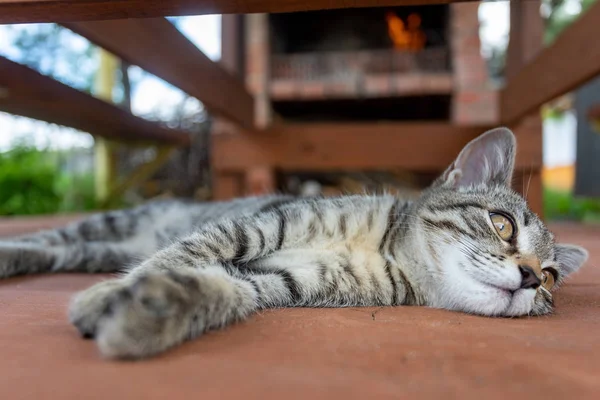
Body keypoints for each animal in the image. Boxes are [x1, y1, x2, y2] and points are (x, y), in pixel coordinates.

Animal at [0, 128, 588, 360]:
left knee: (58, 251)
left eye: (551, 278)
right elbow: (185, 253)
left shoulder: (280, 280)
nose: (531, 276)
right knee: (52, 236)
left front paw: (153, 310)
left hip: (94, 249)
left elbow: (225, 289)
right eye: (502, 224)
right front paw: (107, 297)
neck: (384, 251)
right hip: (114, 224)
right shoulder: (259, 227)